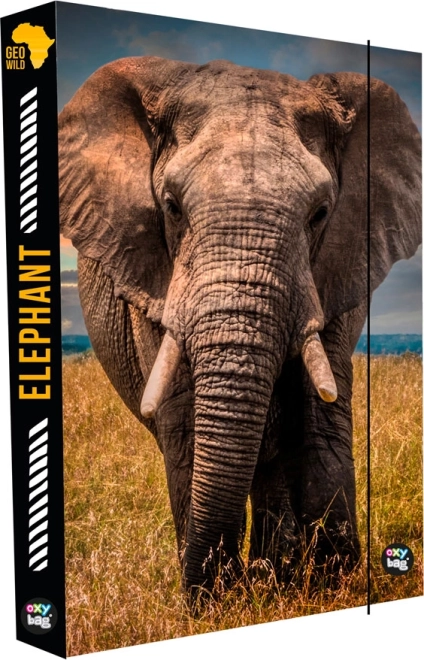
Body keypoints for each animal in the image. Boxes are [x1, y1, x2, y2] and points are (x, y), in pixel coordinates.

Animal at [58, 56, 421, 598]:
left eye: (320, 214)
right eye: (171, 207)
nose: (212, 590)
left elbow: (318, 411)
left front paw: (328, 586)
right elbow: (186, 422)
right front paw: (216, 602)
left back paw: (278, 577)